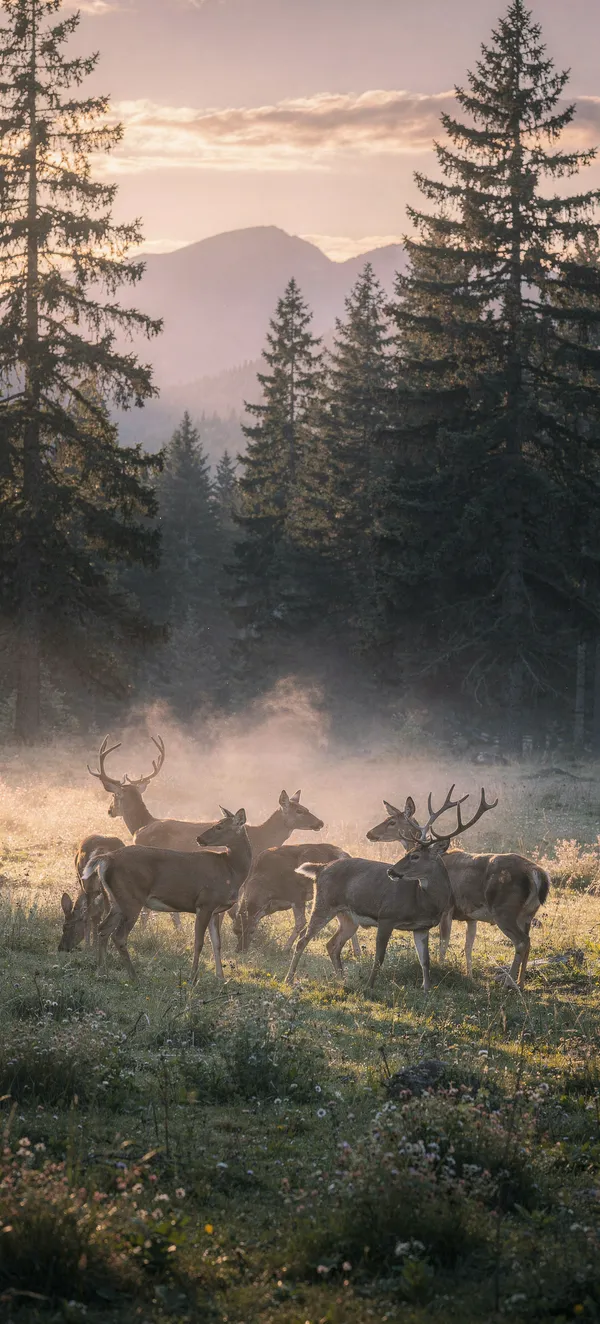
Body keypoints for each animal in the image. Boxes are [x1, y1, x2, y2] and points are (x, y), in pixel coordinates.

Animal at [80, 807, 253, 982]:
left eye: (219, 826)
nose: (199, 838)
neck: (231, 871)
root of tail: (107, 858)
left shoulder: (215, 909)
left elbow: (217, 943)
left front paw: (221, 978)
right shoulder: (204, 903)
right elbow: (199, 942)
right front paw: (192, 978)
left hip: (116, 900)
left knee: (103, 929)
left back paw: (102, 972)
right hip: (131, 898)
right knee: (118, 936)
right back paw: (134, 977)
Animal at [233, 842, 362, 957]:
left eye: (252, 931)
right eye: (236, 930)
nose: (240, 949)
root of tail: (346, 855)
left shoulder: (297, 895)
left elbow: (301, 922)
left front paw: (286, 948)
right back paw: (357, 951)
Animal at [285, 786, 483, 992]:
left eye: (415, 856)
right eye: (409, 853)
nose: (391, 871)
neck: (422, 900)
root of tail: (321, 868)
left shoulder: (422, 927)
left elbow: (425, 961)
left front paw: (427, 990)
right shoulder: (386, 916)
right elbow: (379, 958)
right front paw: (368, 987)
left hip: (348, 917)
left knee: (332, 944)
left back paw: (342, 980)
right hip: (324, 904)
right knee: (303, 941)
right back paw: (289, 979)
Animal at [366, 790, 550, 987]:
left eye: (392, 821)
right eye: (387, 818)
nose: (370, 833)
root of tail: (537, 873)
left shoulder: (448, 908)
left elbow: (443, 943)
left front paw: (441, 969)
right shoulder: (470, 917)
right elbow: (468, 946)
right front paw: (469, 976)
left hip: (505, 910)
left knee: (521, 942)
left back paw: (509, 983)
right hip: (527, 914)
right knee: (528, 941)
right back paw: (521, 983)